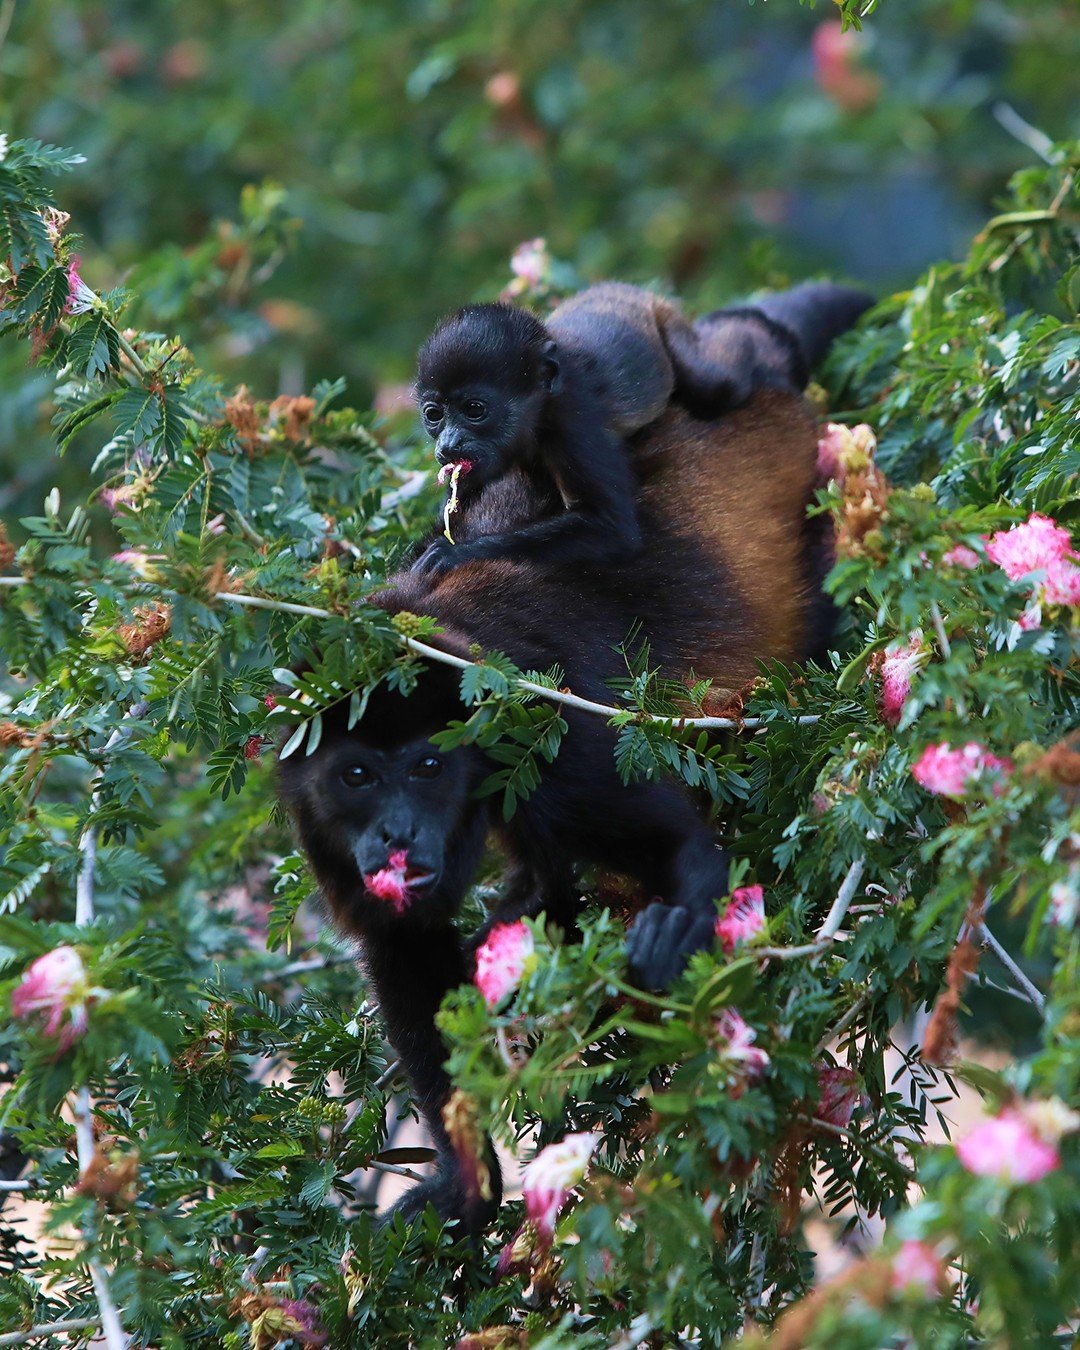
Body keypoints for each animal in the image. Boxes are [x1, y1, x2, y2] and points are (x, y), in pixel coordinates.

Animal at [411, 280, 871, 576]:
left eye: (475, 409)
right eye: (434, 414)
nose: (448, 443)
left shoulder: (575, 422)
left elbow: (613, 528)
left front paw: (458, 554)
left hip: (675, 332)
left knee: (719, 383)